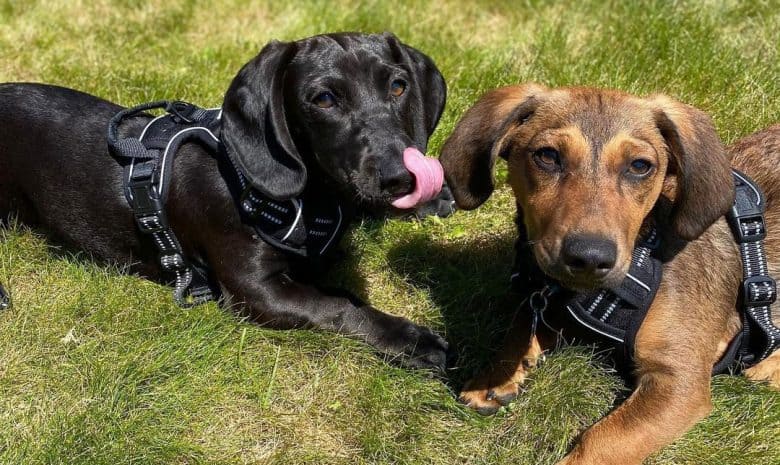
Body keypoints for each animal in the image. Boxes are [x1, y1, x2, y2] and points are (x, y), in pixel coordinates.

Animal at [0, 31, 450, 370]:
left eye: (398, 86)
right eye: (323, 99)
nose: (401, 178)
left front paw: (435, 199)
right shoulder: (257, 291)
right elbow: (338, 305)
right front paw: (410, 339)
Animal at [438, 84, 780, 464]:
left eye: (640, 166)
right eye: (547, 156)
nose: (589, 258)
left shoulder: (679, 379)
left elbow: (604, 440)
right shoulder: (546, 303)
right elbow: (521, 322)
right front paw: (495, 377)